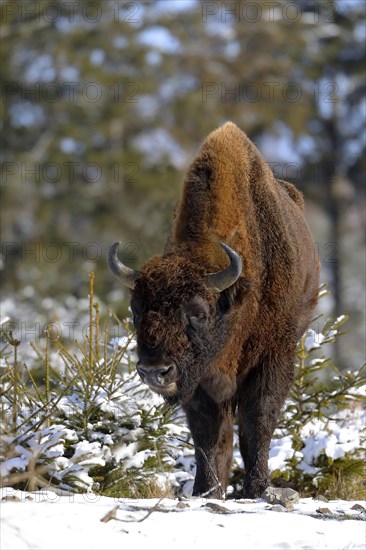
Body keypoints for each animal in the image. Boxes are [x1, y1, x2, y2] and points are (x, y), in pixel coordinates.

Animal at [107, 123, 318, 502]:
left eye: (199, 312)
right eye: (136, 310)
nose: (154, 372)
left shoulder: (273, 357)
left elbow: (257, 421)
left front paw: (257, 489)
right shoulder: (201, 379)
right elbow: (209, 434)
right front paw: (206, 490)